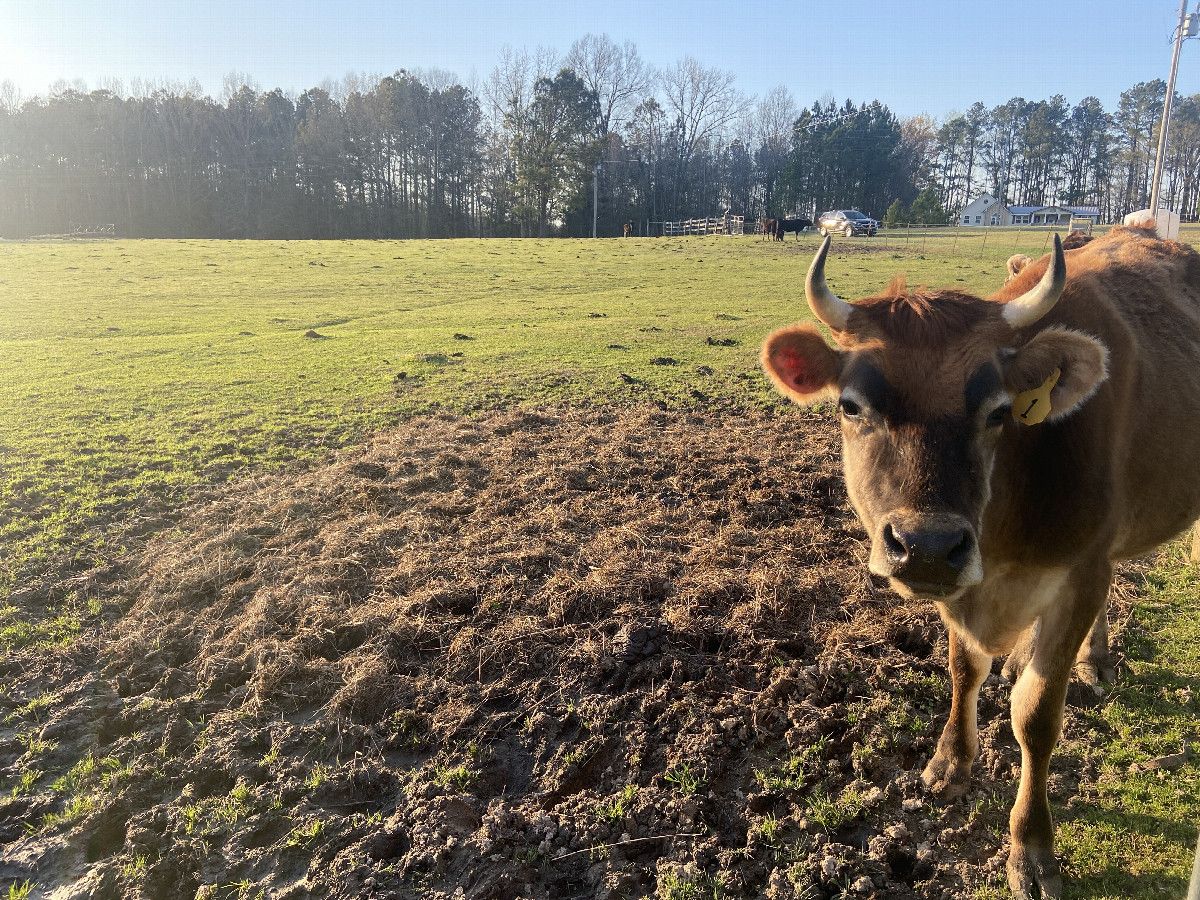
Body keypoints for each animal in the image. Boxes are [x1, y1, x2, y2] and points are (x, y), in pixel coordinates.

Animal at [758, 226, 1200, 900]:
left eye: (998, 411)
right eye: (851, 406)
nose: (926, 543)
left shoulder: (1081, 572)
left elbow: (1036, 714)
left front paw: (1031, 848)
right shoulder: (961, 583)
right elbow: (965, 670)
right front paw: (950, 762)